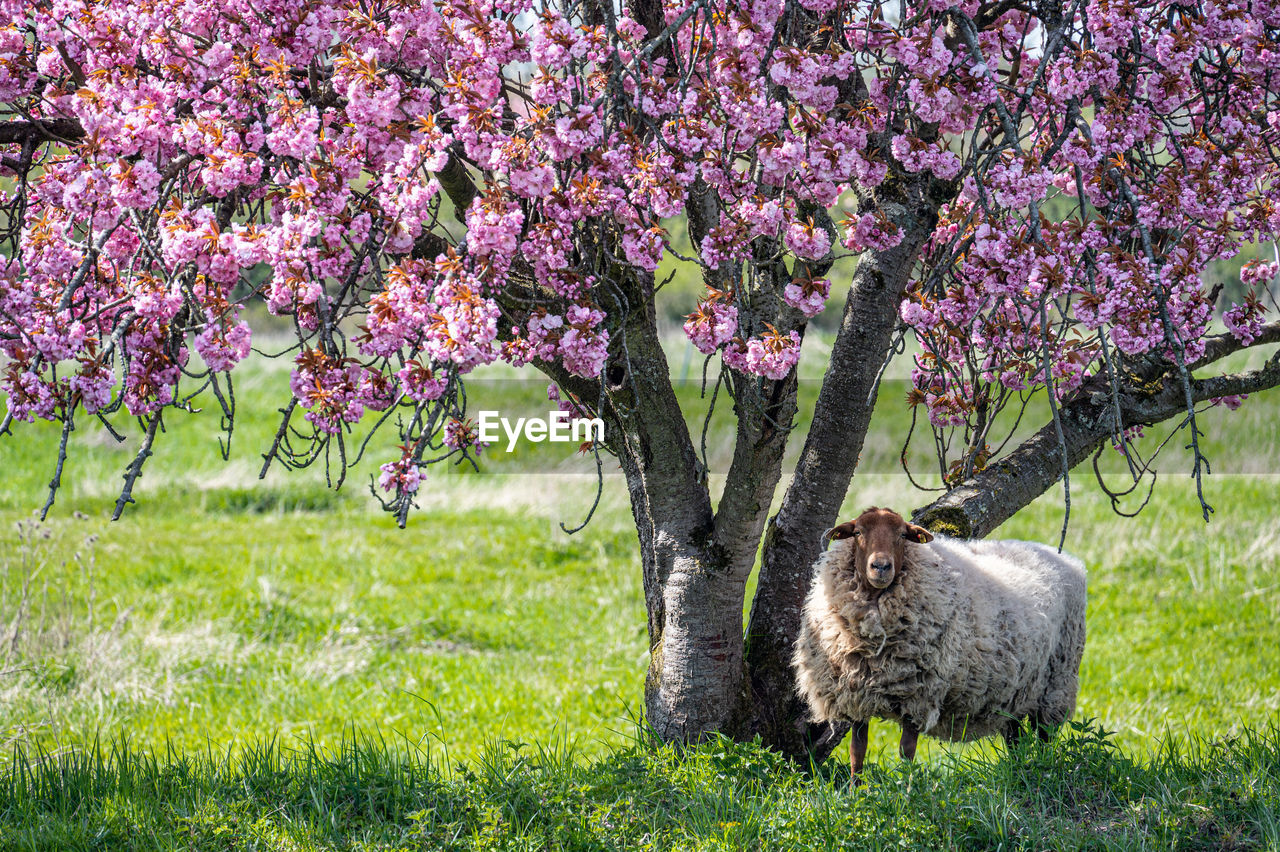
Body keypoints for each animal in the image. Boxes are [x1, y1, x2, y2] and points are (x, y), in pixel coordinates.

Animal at [793, 504, 1085, 782]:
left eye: (902, 535)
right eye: (857, 532)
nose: (881, 567)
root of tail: (1064, 557)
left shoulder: (919, 694)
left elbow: (907, 750)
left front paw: (905, 788)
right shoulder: (855, 697)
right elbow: (858, 750)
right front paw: (856, 790)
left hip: (1055, 685)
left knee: (1045, 736)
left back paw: (1043, 769)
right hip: (1014, 693)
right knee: (1016, 738)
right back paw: (1019, 770)